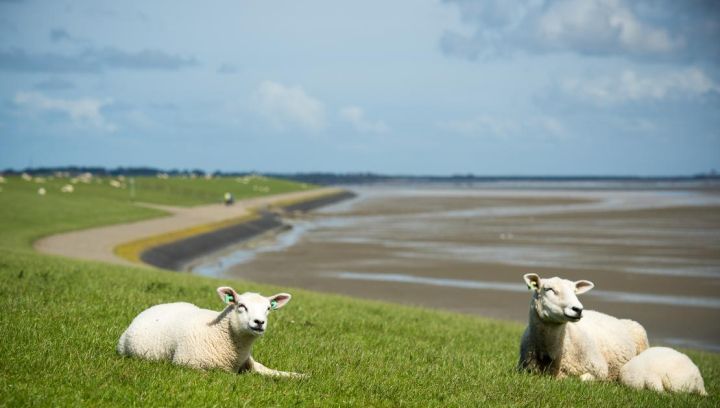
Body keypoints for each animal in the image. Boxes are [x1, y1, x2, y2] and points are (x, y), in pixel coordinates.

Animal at [116, 286, 302, 380]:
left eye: (268, 308)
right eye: (241, 306)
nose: (259, 322)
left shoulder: (250, 363)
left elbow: (272, 371)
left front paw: (300, 376)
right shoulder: (186, 363)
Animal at [516, 274, 648, 382]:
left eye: (575, 291)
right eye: (549, 289)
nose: (578, 309)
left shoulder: (600, 369)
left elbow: (581, 379)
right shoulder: (526, 370)